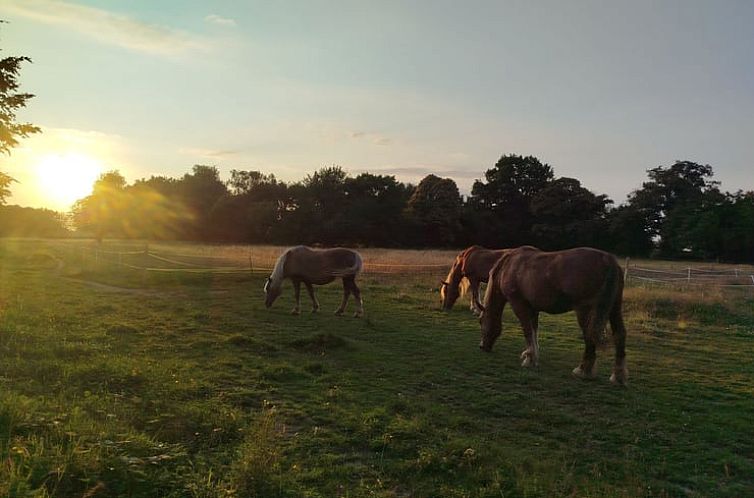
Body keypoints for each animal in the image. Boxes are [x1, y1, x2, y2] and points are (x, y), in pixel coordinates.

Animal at [478, 245, 624, 386]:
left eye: (481, 321)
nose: (482, 347)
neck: (508, 266)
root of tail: (608, 259)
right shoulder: (533, 309)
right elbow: (534, 331)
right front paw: (533, 358)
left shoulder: (519, 305)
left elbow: (527, 331)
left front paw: (528, 359)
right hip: (614, 309)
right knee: (619, 335)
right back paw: (617, 377)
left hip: (585, 311)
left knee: (590, 336)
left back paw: (583, 371)